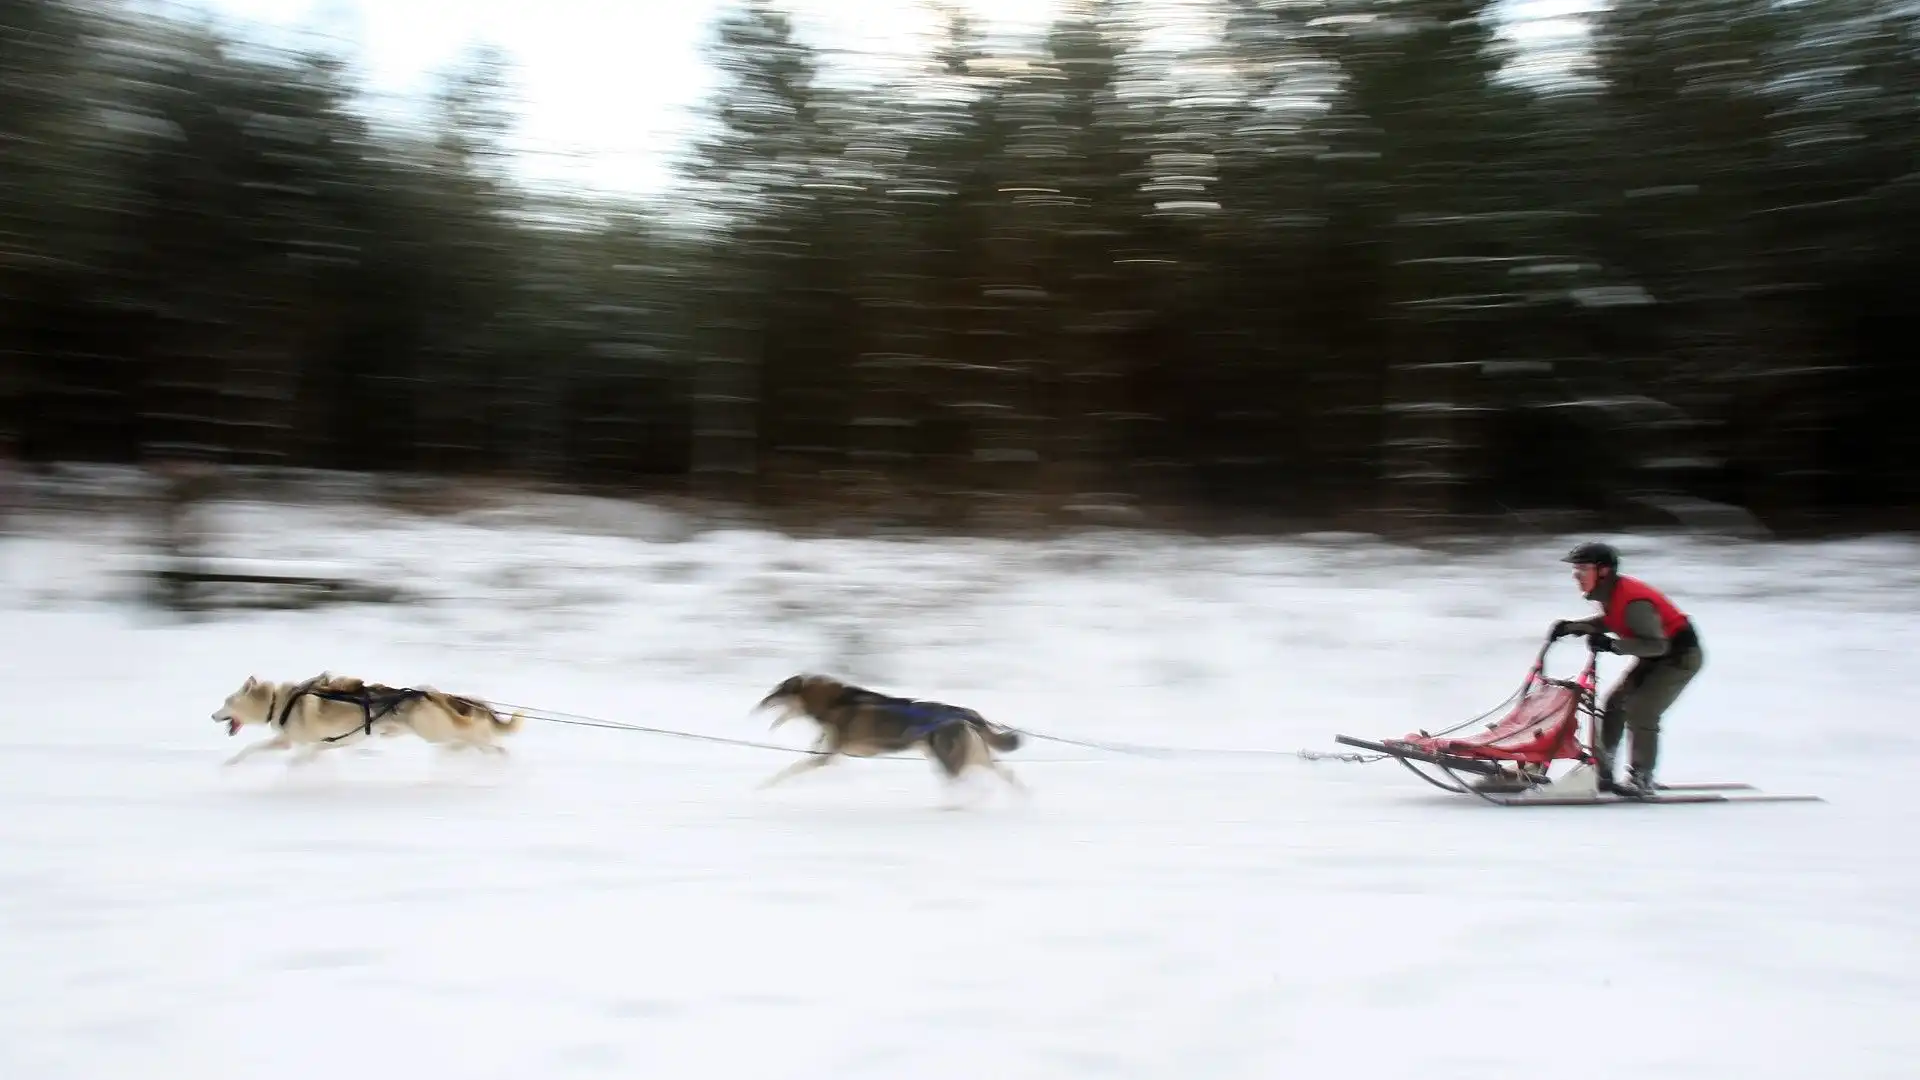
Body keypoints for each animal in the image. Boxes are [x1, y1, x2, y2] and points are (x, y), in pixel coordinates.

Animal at [213, 668, 526, 760]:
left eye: (226, 702)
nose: (213, 716)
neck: (278, 701)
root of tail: (427, 693)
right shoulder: (292, 742)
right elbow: (251, 750)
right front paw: (230, 765)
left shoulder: (304, 743)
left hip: (435, 731)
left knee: (475, 733)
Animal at [752, 668, 1029, 795]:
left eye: (776, 692)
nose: (758, 705)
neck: (834, 703)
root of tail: (968, 713)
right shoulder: (829, 753)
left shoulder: (828, 755)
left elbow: (791, 770)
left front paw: (764, 784)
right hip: (973, 755)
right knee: (1007, 775)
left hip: (949, 758)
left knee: (968, 784)